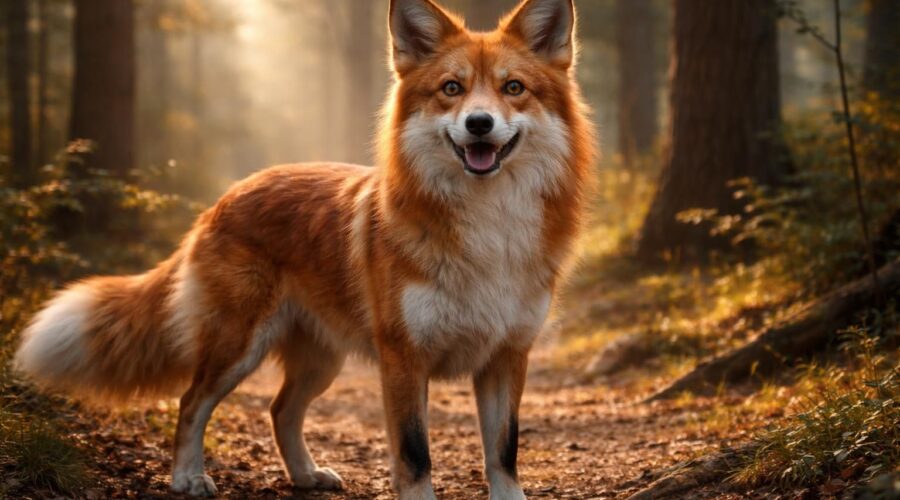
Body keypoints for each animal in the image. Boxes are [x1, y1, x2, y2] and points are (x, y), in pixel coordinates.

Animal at [14, 0, 595, 498]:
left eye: (513, 87)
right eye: (452, 88)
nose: (479, 123)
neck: (488, 235)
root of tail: (224, 198)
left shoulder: (506, 355)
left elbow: (503, 455)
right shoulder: (403, 359)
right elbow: (414, 456)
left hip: (321, 361)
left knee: (280, 411)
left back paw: (305, 475)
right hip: (238, 347)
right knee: (191, 401)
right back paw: (187, 478)